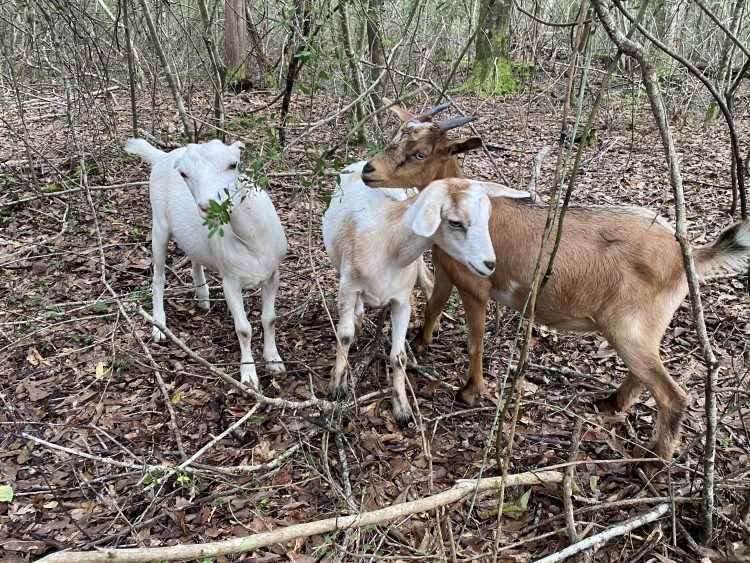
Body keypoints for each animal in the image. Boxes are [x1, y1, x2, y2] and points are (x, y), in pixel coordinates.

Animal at [125, 139, 290, 390]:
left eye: (233, 164)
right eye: (183, 174)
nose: (208, 206)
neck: (251, 240)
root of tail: (163, 156)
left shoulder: (272, 275)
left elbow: (269, 319)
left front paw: (274, 361)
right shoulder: (230, 280)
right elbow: (244, 330)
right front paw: (249, 376)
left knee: (194, 255)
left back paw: (202, 296)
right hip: (159, 224)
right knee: (158, 277)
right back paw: (159, 325)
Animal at [322, 163, 528, 428]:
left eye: (487, 217)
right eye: (455, 222)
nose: (490, 264)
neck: (386, 242)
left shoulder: (401, 301)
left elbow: (398, 356)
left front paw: (402, 409)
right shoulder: (348, 287)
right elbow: (344, 335)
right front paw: (337, 386)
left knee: (427, 279)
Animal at [362, 99, 750, 464]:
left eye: (420, 153)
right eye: (394, 137)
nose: (368, 170)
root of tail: (689, 253)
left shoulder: (476, 286)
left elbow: (475, 341)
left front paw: (470, 391)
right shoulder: (447, 272)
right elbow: (433, 307)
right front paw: (421, 341)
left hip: (628, 323)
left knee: (672, 394)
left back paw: (651, 463)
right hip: (646, 326)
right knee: (644, 374)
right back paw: (610, 404)